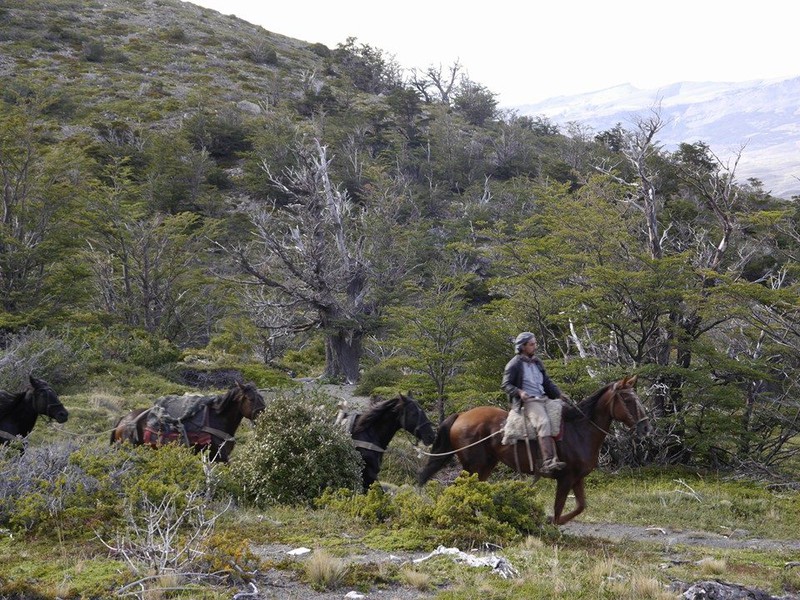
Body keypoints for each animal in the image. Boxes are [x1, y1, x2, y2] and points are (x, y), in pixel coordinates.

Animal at [416, 378, 652, 524]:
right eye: (628, 399)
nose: (645, 428)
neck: (580, 430)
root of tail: (461, 415)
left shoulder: (577, 478)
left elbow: (580, 506)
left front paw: (550, 521)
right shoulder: (566, 478)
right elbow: (558, 508)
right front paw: (550, 525)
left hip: (485, 466)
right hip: (473, 466)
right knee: (460, 488)